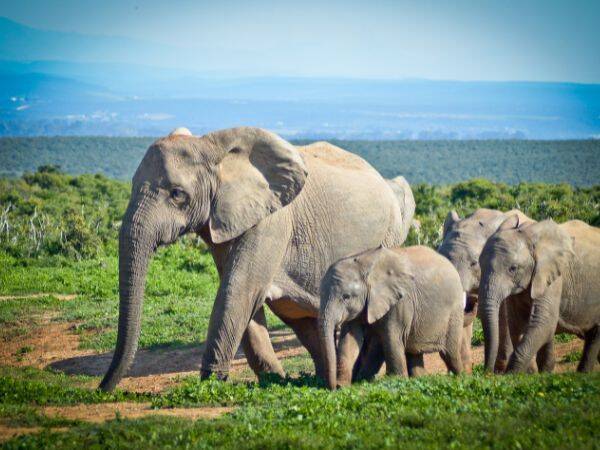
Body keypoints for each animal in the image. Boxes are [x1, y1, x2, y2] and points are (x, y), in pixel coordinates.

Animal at [99, 126, 408, 390]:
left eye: (177, 194)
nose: (102, 389)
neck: (211, 148)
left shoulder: (272, 221)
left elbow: (239, 289)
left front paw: (211, 383)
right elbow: (241, 294)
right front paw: (275, 380)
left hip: (389, 234)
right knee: (300, 316)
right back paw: (323, 379)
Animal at [318, 244, 464, 388]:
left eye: (346, 296)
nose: (332, 387)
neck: (364, 262)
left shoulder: (401, 301)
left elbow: (391, 337)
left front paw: (396, 381)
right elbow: (350, 338)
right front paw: (343, 386)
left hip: (454, 311)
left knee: (449, 353)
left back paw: (462, 377)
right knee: (413, 352)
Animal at [478, 215, 600, 372]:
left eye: (513, 268)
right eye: (479, 264)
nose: (488, 372)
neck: (528, 234)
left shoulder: (552, 276)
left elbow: (544, 322)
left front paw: (512, 374)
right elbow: (518, 323)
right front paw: (534, 373)